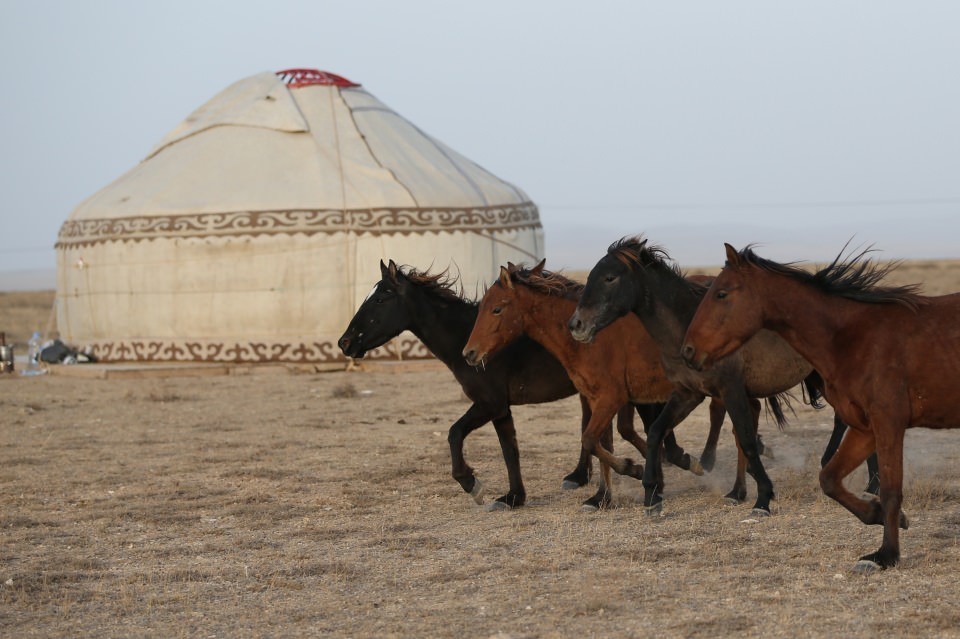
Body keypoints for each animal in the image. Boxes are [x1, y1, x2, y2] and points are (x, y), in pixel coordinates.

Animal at [338, 258, 696, 510]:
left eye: (380, 299)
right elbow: (510, 450)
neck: (465, 337)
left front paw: (474, 485)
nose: (344, 342)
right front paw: (513, 497)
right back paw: (586, 478)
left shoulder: (490, 403)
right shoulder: (500, 409)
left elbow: (456, 434)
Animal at [464, 262, 788, 508]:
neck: (586, 339)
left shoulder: (612, 398)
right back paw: (739, 486)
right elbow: (603, 440)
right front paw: (602, 497)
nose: (469, 353)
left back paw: (729, 481)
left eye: (497, 309)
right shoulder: (598, 399)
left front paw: (637, 470)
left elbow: (592, 439)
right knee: (746, 419)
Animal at [572, 238, 828, 516]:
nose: (576, 324)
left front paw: (763, 498)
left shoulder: (730, 389)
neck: (687, 327)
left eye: (609, 278)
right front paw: (651, 493)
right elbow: (656, 431)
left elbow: (746, 439)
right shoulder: (688, 393)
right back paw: (736, 491)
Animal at [684, 244, 952, 568]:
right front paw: (882, 516)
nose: (687, 351)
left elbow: (890, 490)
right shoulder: (865, 428)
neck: (853, 337)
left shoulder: (888, 423)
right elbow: (829, 479)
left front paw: (885, 555)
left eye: (721, 293)